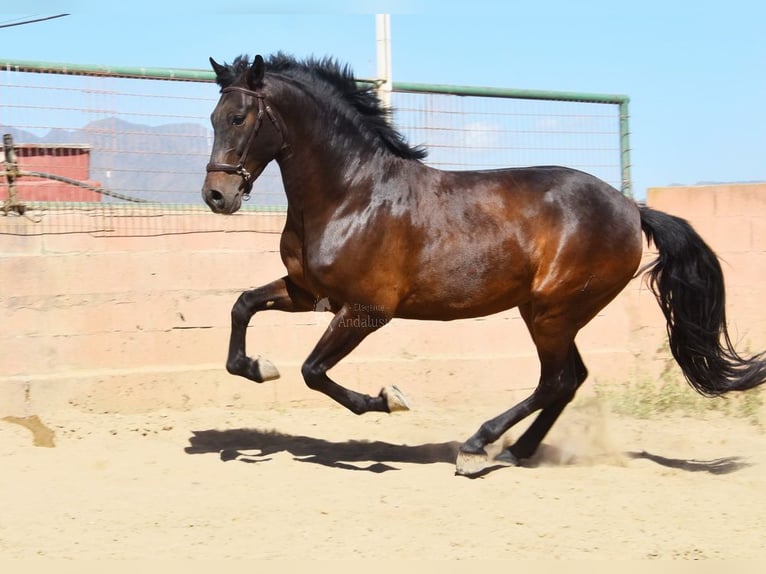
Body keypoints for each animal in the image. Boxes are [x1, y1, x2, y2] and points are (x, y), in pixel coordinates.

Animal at [201, 53, 766, 476]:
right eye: (212, 118)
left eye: (239, 118)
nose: (216, 195)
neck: (351, 194)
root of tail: (631, 208)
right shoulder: (309, 294)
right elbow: (242, 308)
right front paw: (259, 367)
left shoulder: (367, 311)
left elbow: (313, 371)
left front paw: (389, 399)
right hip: (549, 313)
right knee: (570, 379)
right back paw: (515, 451)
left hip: (552, 311)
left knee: (556, 380)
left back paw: (478, 447)